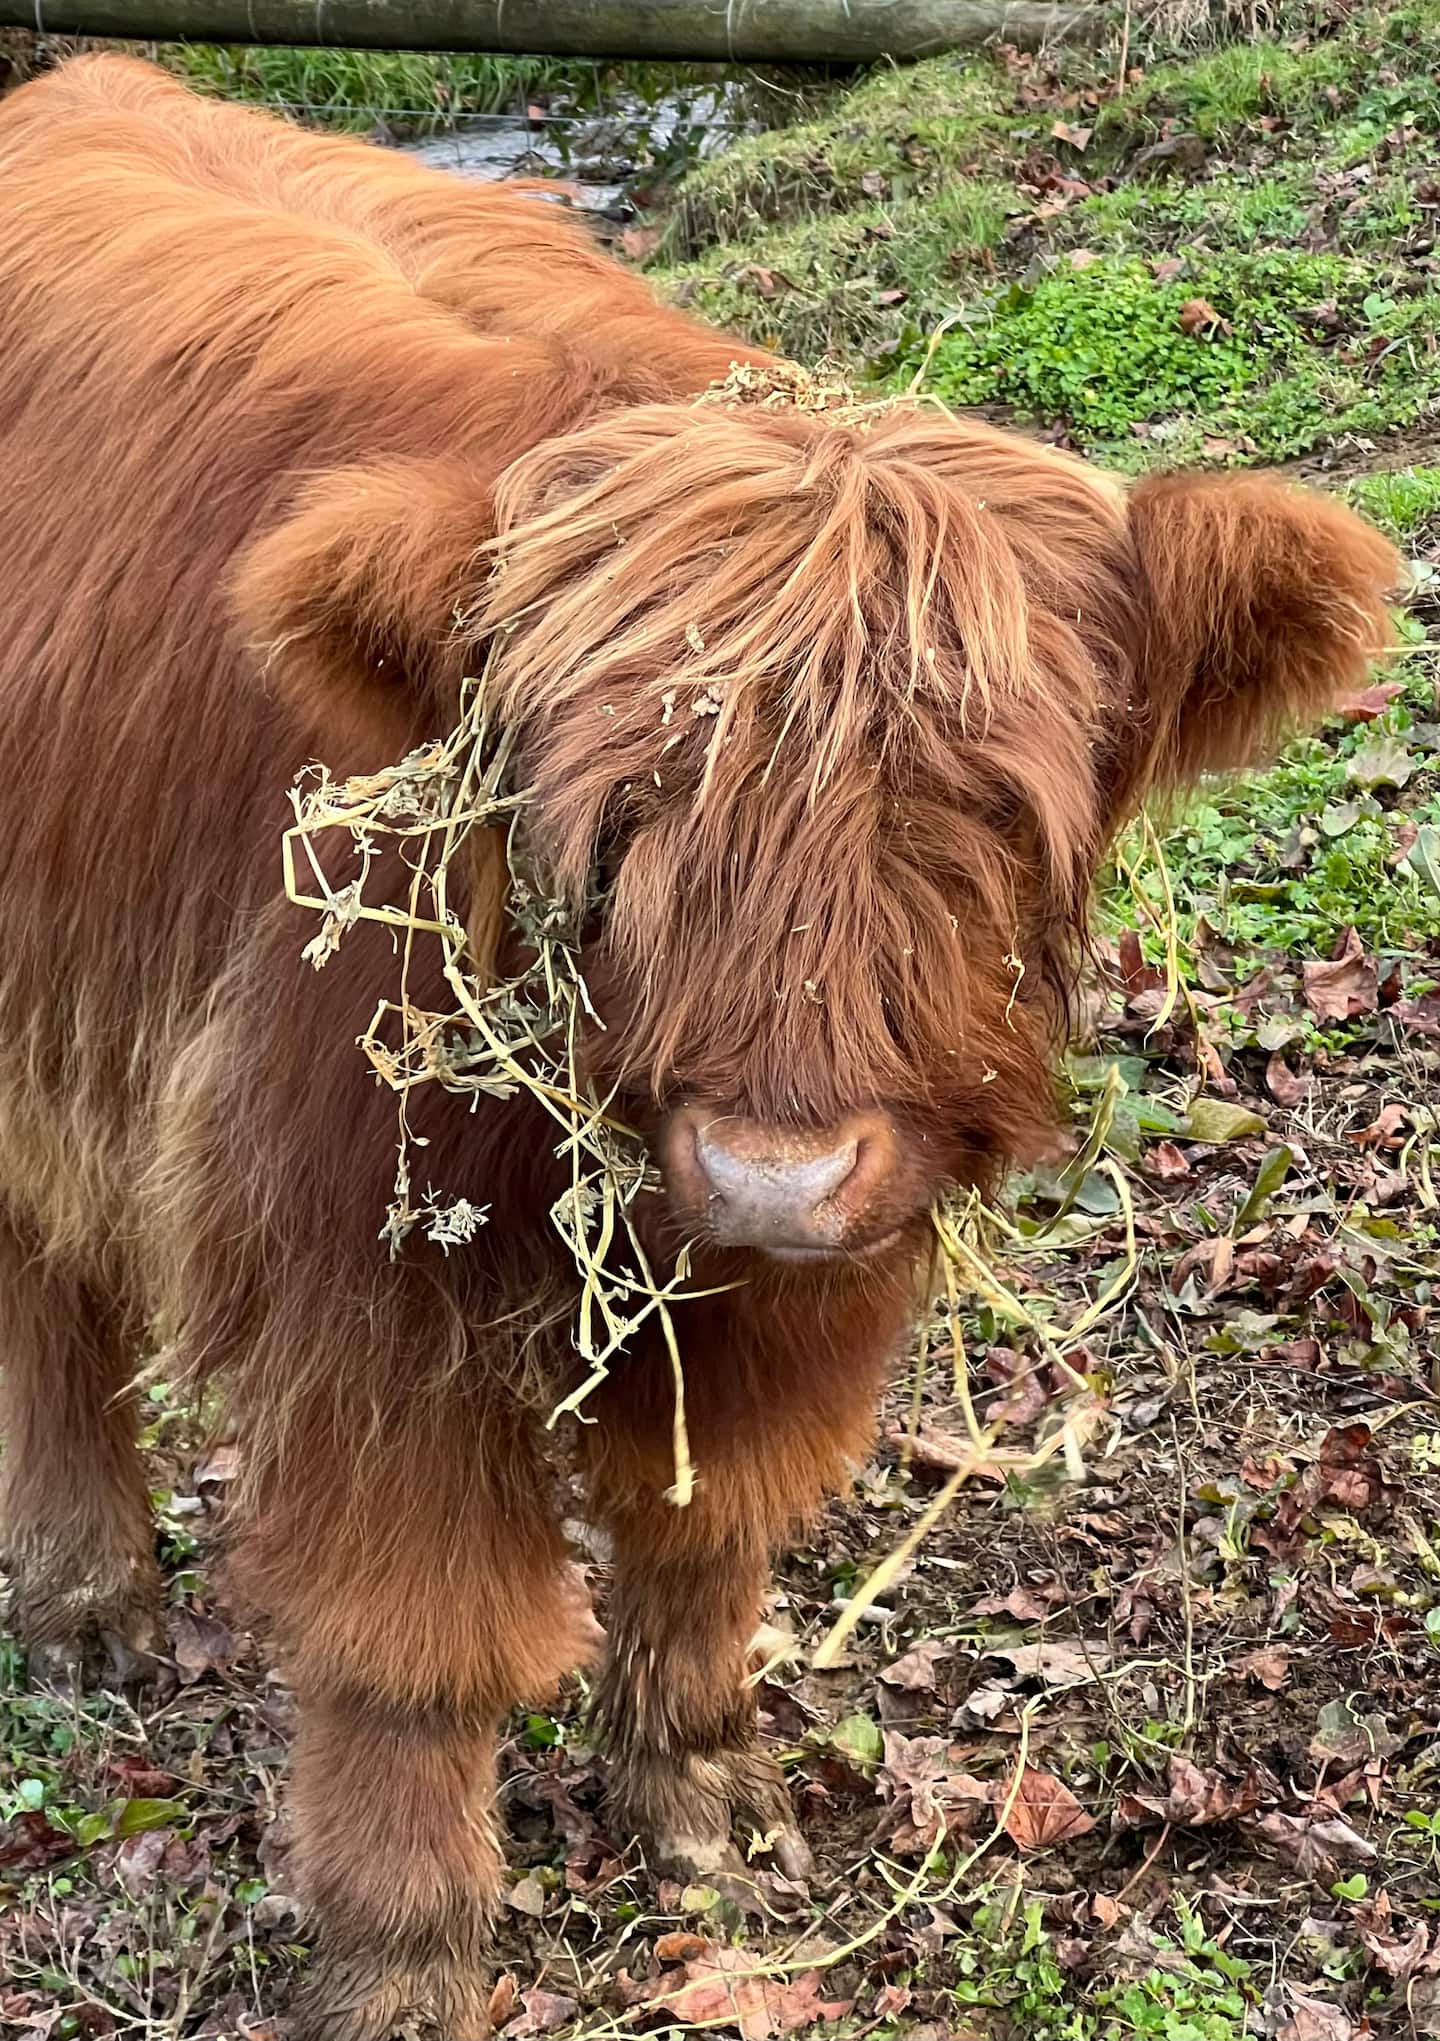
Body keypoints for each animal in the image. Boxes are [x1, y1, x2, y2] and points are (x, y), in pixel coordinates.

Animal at [0, 53, 1397, 2038]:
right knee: (45, 1281)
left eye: (981, 808)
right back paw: (88, 1597)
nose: (771, 1168)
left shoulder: (811, 1268)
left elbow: (706, 1519)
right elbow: (414, 1639)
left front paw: (702, 1790)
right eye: (624, 812)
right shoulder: (357, 1279)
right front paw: (405, 1951)